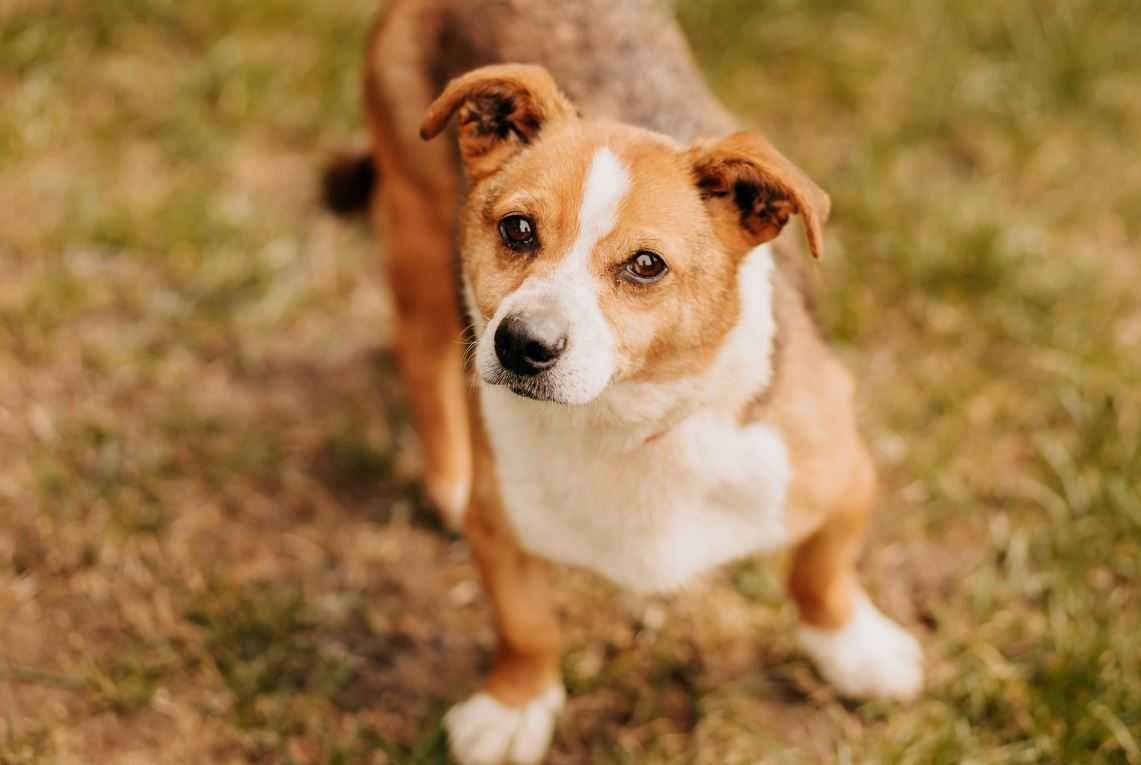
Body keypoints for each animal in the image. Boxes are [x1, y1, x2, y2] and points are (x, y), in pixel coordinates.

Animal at [324, 2, 926, 762]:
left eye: (646, 265)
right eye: (516, 229)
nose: (522, 345)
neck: (625, 423)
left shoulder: (841, 474)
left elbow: (821, 570)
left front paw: (854, 649)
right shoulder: (500, 522)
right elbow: (526, 625)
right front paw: (515, 704)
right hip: (414, 221)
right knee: (418, 351)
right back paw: (448, 477)